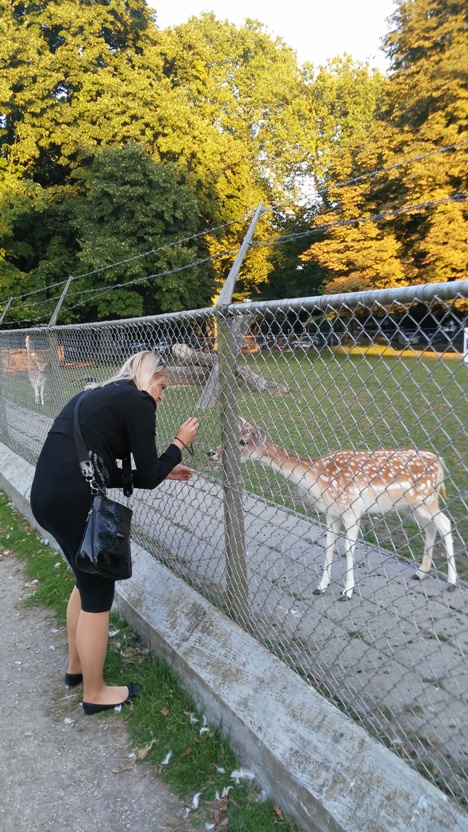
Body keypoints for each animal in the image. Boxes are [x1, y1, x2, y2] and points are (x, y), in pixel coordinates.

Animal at [209, 420, 458, 600]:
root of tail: (440, 463)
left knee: (445, 524)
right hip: (411, 507)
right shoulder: (330, 512)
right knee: (430, 528)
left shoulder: (352, 511)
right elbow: (329, 545)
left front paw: (346, 592)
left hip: (426, 499)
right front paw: (320, 587)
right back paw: (420, 572)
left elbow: (348, 549)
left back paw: (452, 582)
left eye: (242, 441)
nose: (212, 452)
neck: (317, 480)